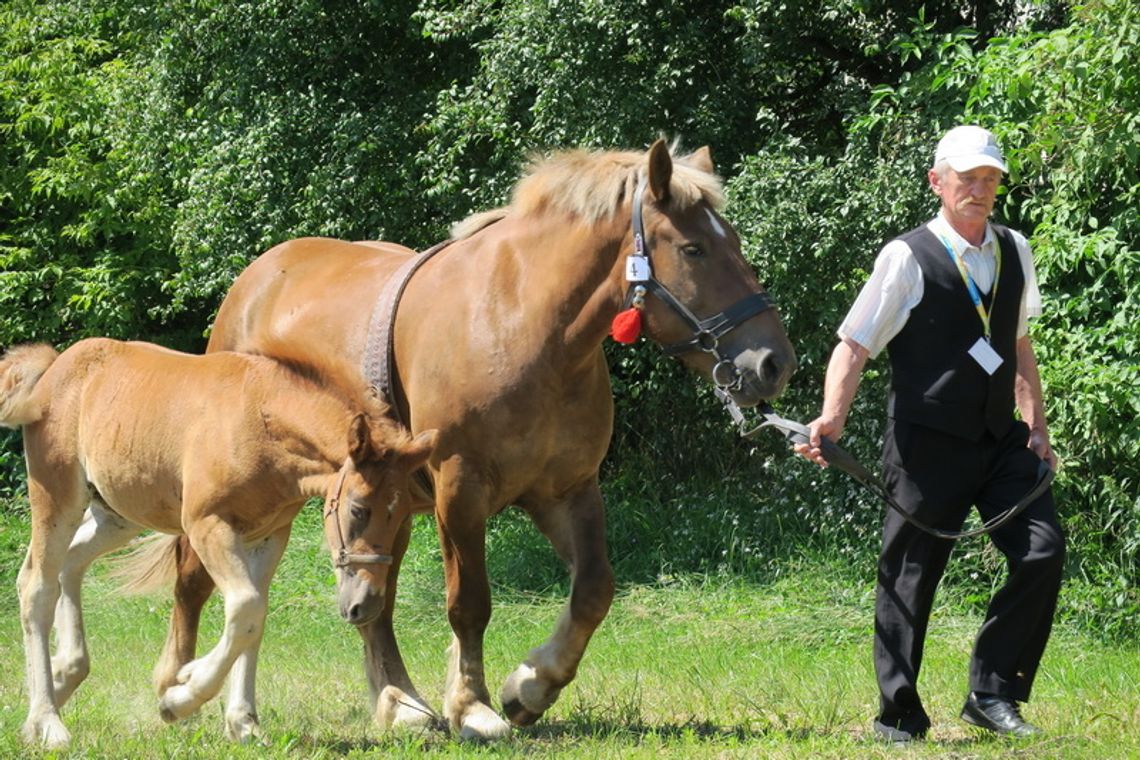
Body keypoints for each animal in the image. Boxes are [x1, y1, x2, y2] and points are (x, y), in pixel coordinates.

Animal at [171, 139, 793, 738]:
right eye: (693, 249)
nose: (773, 363)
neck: (523, 329)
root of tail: (253, 283)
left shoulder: (568, 490)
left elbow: (594, 590)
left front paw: (531, 686)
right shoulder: (460, 492)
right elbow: (468, 604)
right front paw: (473, 707)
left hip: (381, 511)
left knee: (373, 604)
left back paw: (399, 704)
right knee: (192, 582)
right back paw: (179, 687)